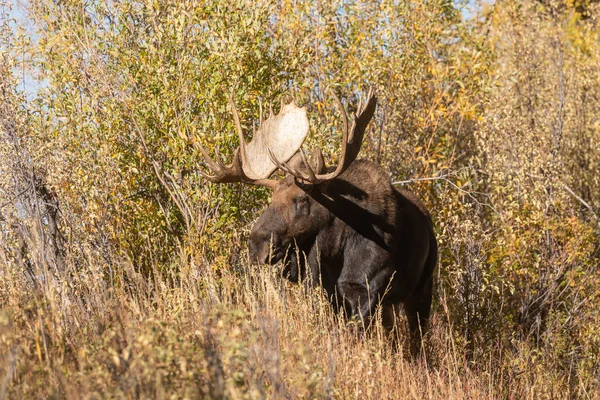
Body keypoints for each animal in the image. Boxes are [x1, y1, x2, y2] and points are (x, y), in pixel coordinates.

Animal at [197, 88, 436, 354]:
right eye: (271, 198)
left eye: (302, 199)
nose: (256, 245)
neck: (334, 246)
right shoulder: (332, 292)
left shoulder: (364, 287)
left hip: (422, 289)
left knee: (418, 333)